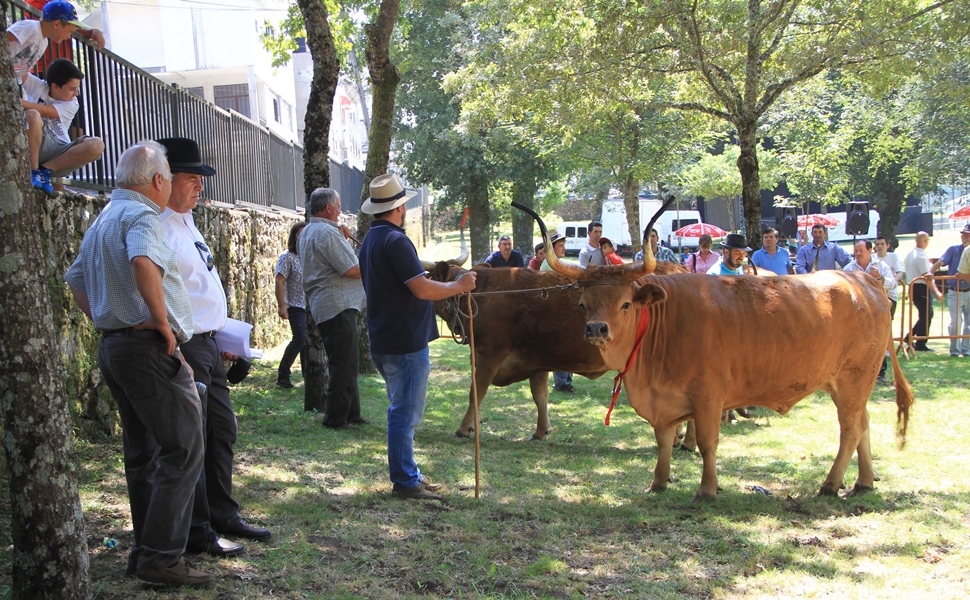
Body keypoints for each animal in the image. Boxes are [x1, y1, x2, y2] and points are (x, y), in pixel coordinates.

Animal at [432, 260, 688, 438]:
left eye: (432, 276)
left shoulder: (488, 353)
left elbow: (476, 392)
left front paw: (464, 428)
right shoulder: (535, 360)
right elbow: (540, 395)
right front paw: (540, 431)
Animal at [544, 237, 916, 500]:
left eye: (624, 304)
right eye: (583, 304)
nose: (596, 329)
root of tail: (863, 279)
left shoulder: (708, 395)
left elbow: (708, 442)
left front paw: (707, 489)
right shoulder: (663, 399)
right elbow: (663, 440)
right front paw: (658, 482)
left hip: (854, 380)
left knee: (850, 430)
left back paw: (830, 484)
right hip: (853, 385)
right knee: (863, 426)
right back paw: (863, 482)